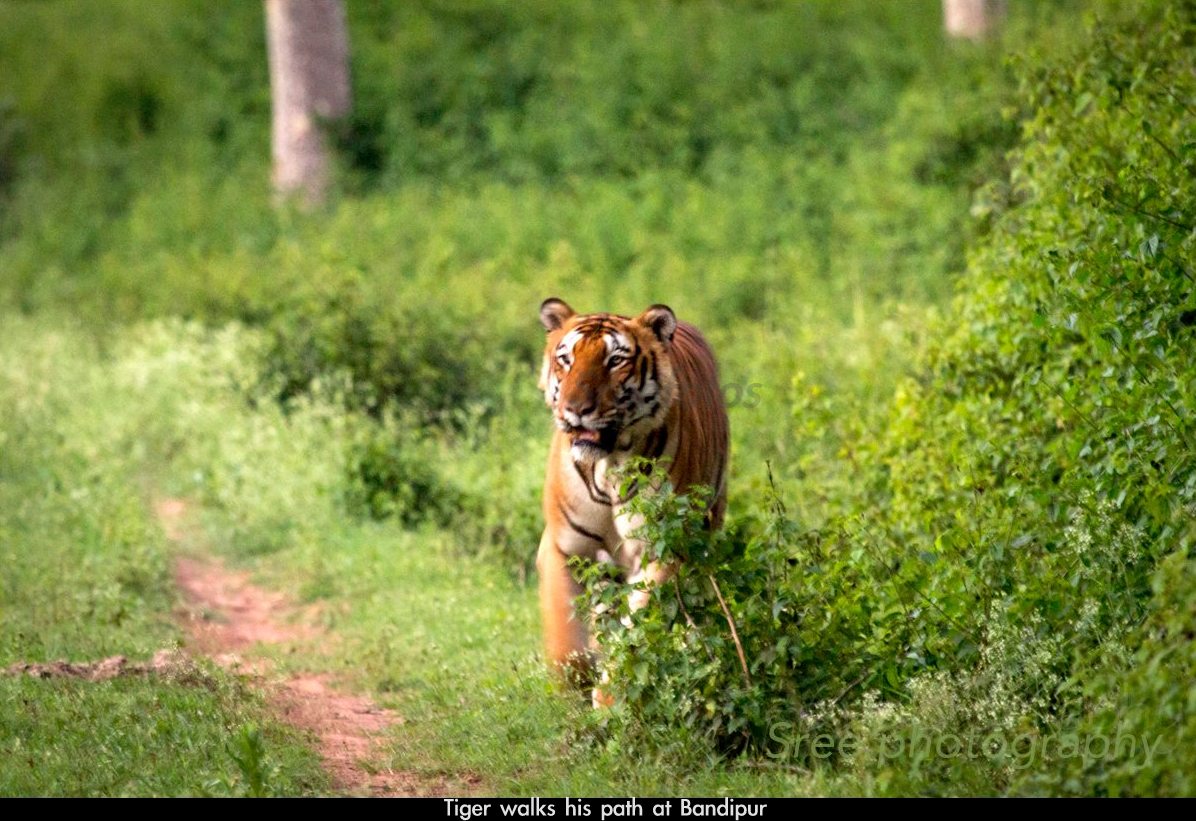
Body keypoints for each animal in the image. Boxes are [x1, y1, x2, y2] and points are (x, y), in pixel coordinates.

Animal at [535, 298, 729, 702]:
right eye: (566, 359)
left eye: (614, 361)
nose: (576, 409)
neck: (608, 465)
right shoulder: (564, 547)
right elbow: (565, 635)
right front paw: (574, 683)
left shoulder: (665, 549)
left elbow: (636, 626)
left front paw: (609, 696)